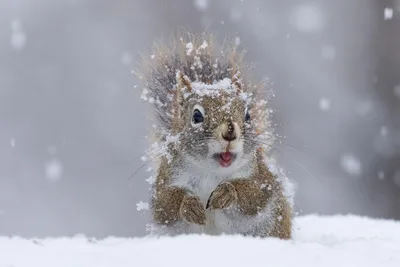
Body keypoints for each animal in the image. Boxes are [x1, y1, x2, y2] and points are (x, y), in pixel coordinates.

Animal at [138, 32, 294, 240]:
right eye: (196, 116)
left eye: (247, 115)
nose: (230, 132)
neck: (210, 172)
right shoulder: (166, 178)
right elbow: (165, 204)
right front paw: (189, 205)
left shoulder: (262, 179)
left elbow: (255, 195)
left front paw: (227, 193)